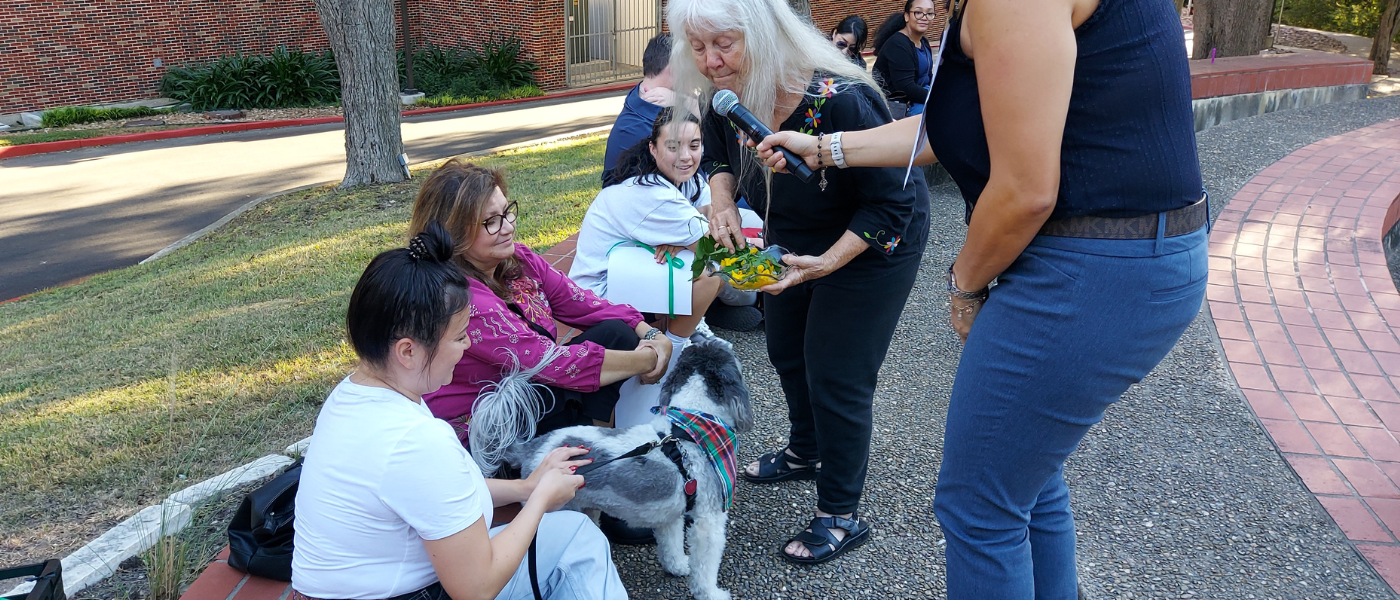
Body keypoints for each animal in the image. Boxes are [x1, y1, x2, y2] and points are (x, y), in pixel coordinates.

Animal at [498, 337, 750, 598]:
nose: (701, 335)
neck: (687, 432)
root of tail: (531, 448)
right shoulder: (708, 521)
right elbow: (705, 566)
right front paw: (711, 593)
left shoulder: (673, 513)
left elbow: (671, 543)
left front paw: (678, 566)